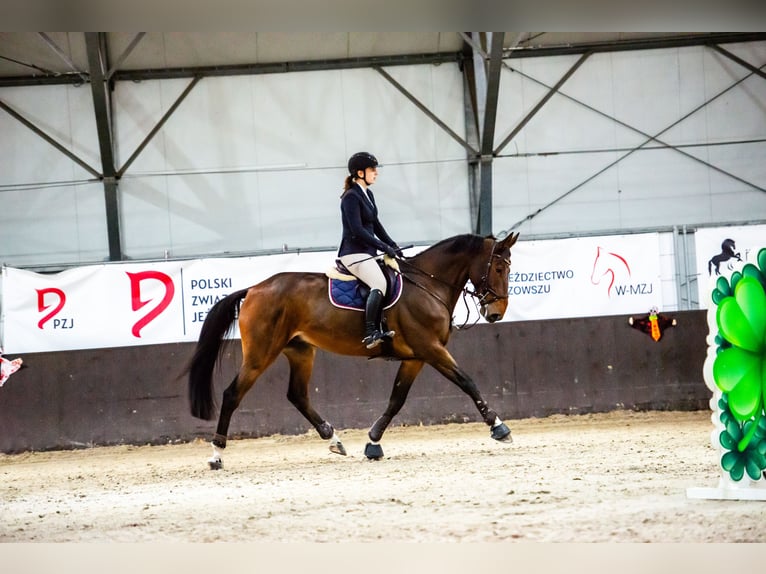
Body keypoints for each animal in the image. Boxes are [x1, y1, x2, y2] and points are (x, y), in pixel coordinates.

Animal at [186, 231, 519, 469]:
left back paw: (334, 440)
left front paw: (373, 443)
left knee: (298, 395)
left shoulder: (416, 356)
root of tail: (254, 289)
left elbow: (397, 399)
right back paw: (216, 455)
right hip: (260, 354)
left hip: (300, 351)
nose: (496, 313)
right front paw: (499, 428)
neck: (427, 286)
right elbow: (467, 381)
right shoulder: (430, 349)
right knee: (233, 394)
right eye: (498, 267)